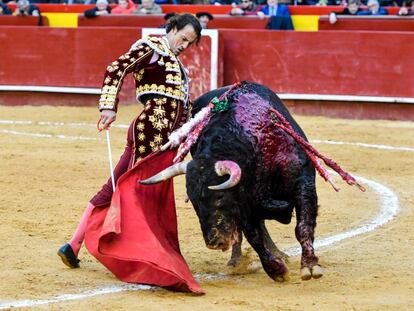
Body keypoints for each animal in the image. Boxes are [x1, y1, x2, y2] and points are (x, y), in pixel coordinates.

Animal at [141, 82, 326, 282]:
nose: (213, 242)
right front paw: (276, 270)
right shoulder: (243, 203)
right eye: (194, 203)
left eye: (220, 196)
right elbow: (253, 235)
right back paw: (238, 260)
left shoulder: (303, 182)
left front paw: (310, 266)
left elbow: (303, 226)